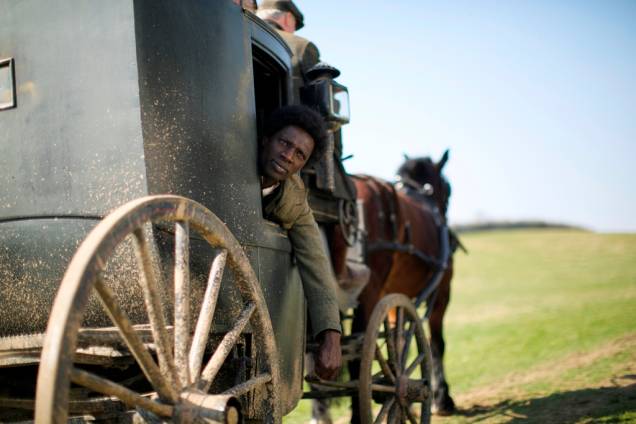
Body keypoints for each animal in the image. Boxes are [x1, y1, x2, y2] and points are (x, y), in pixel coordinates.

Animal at [328, 151, 458, 420]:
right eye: (448, 189)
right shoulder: (442, 292)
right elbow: (436, 344)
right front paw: (442, 397)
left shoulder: (391, 298)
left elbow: (397, 343)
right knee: (357, 355)